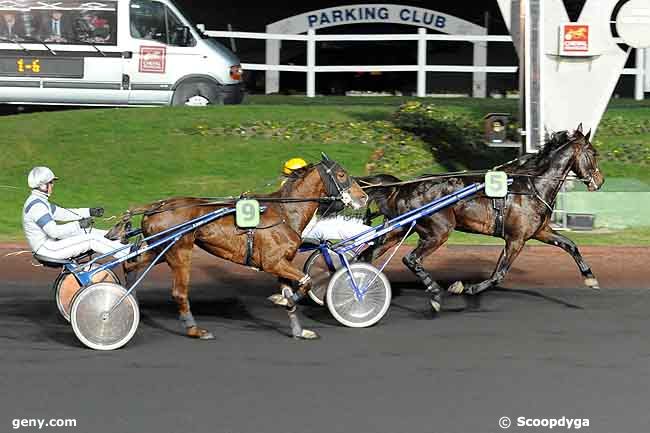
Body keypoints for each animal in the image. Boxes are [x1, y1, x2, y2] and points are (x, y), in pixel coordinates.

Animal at [115, 157, 364, 340]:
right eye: (342, 174)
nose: (363, 196)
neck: (284, 212)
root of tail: (157, 206)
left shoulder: (282, 263)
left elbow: (295, 290)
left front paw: (298, 329)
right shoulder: (273, 262)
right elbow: (307, 281)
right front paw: (282, 300)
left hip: (159, 250)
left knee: (129, 266)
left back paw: (130, 302)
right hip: (179, 251)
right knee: (179, 292)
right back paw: (195, 330)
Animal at [356, 124, 600, 310]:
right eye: (593, 153)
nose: (599, 181)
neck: (534, 186)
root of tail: (403, 187)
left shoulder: (540, 231)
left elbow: (570, 245)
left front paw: (590, 278)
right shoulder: (516, 239)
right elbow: (498, 274)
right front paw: (466, 287)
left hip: (399, 230)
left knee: (368, 255)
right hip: (439, 231)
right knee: (411, 259)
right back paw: (435, 294)